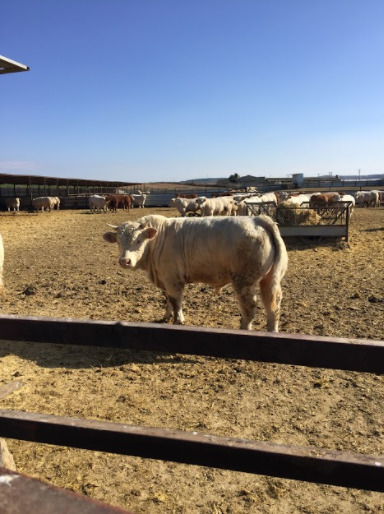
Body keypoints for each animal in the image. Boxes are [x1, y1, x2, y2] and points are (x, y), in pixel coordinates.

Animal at [103, 214, 288, 330]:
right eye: (118, 241)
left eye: (139, 240)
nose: (124, 261)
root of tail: (259, 219)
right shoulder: (165, 280)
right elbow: (168, 300)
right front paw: (166, 317)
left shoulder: (173, 280)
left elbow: (176, 301)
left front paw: (178, 320)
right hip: (270, 279)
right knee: (273, 305)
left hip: (244, 281)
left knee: (249, 307)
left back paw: (244, 328)